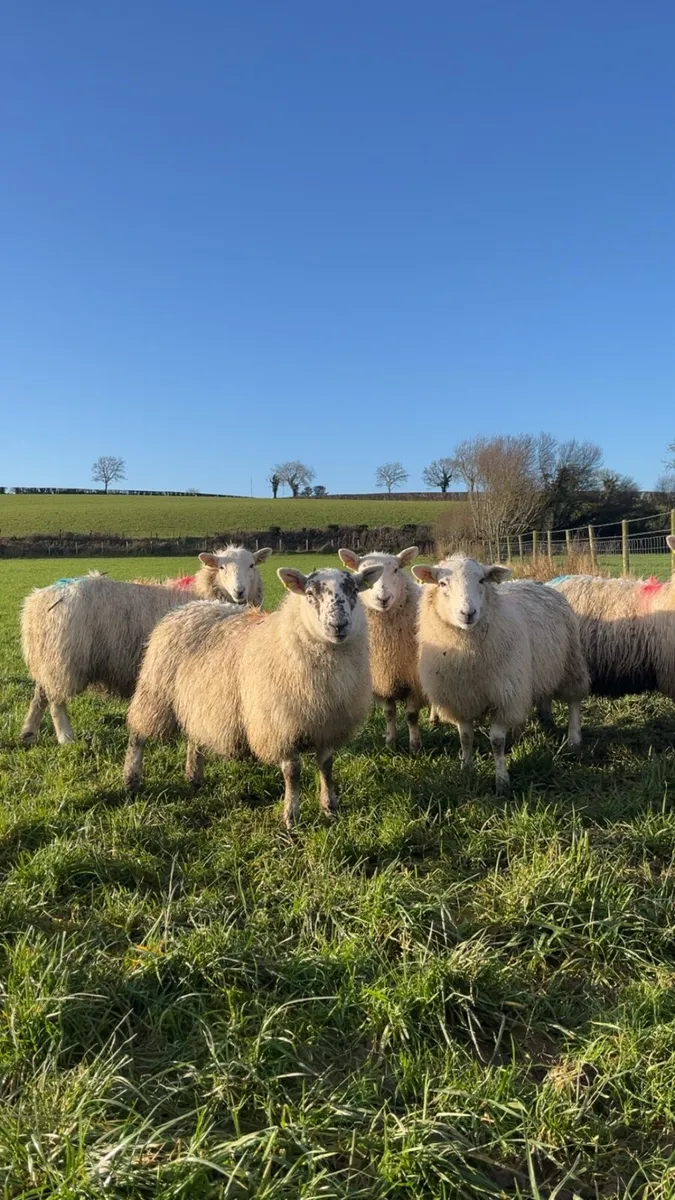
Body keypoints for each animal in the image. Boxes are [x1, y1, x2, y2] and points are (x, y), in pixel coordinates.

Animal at [19, 559, 252, 746]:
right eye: (222, 567)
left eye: (251, 565)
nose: (240, 591)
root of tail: (37, 602)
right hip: (65, 660)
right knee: (56, 701)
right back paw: (66, 737)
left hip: (48, 658)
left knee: (40, 695)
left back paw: (28, 733)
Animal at [124, 564, 383, 828]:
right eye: (310, 593)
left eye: (354, 590)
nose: (338, 625)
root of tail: (186, 608)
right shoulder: (279, 725)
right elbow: (293, 772)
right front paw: (291, 817)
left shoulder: (329, 725)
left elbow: (326, 767)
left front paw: (330, 807)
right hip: (155, 693)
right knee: (138, 733)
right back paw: (131, 778)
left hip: (199, 699)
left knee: (195, 734)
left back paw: (194, 776)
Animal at [338, 546, 425, 751]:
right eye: (364, 573)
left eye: (396, 569)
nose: (382, 598)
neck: (388, 646)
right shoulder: (382, 677)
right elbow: (389, 712)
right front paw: (391, 743)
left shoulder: (414, 680)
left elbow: (411, 716)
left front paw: (415, 747)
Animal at [412, 555, 590, 792]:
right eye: (442, 583)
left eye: (481, 580)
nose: (468, 614)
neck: (467, 656)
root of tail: (536, 582)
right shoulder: (460, 698)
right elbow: (465, 737)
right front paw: (466, 768)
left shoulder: (505, 696)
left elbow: (497, 742)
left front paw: (502, 780)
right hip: (538, 670)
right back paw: (541, 723)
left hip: (571, 662)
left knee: (574, 702)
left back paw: (574, 739)